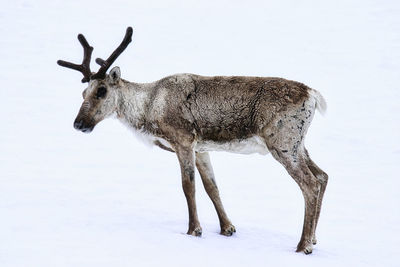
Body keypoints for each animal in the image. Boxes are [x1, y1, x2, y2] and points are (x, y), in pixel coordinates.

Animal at [57, 27, 330, 255]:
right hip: (298, 144)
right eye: (83, 92)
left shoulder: (183, 141)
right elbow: (212, 187)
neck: (149, 107)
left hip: (283, 144)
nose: (79, 124)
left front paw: (193, 230)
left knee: (309, 183)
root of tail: (313, 95)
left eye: (101, 91)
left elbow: (188, 186)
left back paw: (303, 245)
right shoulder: (201, 149)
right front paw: (227, 228)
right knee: (322, 175)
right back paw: (314, 239)